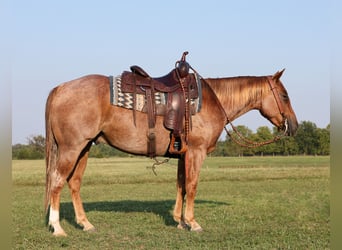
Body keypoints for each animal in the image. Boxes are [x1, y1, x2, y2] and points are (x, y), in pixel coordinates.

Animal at [44, 64, 296, 234]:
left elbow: (181, 186)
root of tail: (61, 88)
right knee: (57, 181)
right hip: (71, 148)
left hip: (84, 148)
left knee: (74, 183)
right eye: (284, 95)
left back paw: (86, 224)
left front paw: (180, 220)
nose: (293, 126)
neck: (212, 101)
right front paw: (193, 223)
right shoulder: (196, 152)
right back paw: (57, 227)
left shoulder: (183, 155)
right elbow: (192, 186)